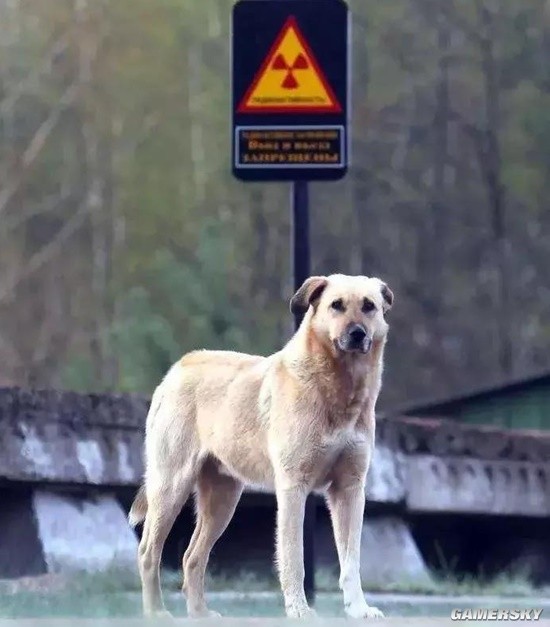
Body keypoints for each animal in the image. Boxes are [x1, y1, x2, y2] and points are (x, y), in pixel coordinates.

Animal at [130, 274, 394, 620]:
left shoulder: (349, 490)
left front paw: (358, 609)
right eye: (336, 305)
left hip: (223, 500)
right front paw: (299, 610)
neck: (336, 388)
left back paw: (200, 614)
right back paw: (156, 613)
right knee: (149, 551)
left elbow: (351, 561)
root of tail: (179, 367)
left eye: (369, 306)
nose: (357, 334)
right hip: (170, 487)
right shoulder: (293, 488)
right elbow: (294, 558)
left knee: (192, 557)